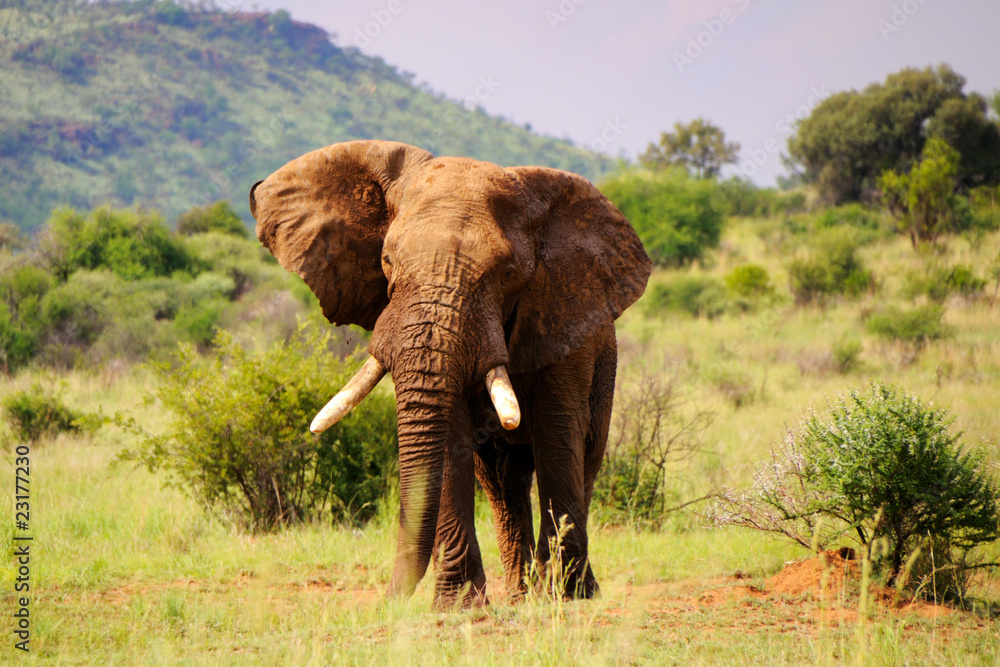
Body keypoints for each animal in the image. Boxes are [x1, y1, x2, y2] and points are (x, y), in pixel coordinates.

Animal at [249, 140, 651, 608]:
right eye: (387, 260)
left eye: (508, 273)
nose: (390, 599)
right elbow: (450, 439)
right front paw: (461, 606)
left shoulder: (563, 312)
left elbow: (558, 431)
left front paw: (564, 598)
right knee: (502, 479)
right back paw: (518, 597)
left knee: (583, 456)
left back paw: (568, 590)